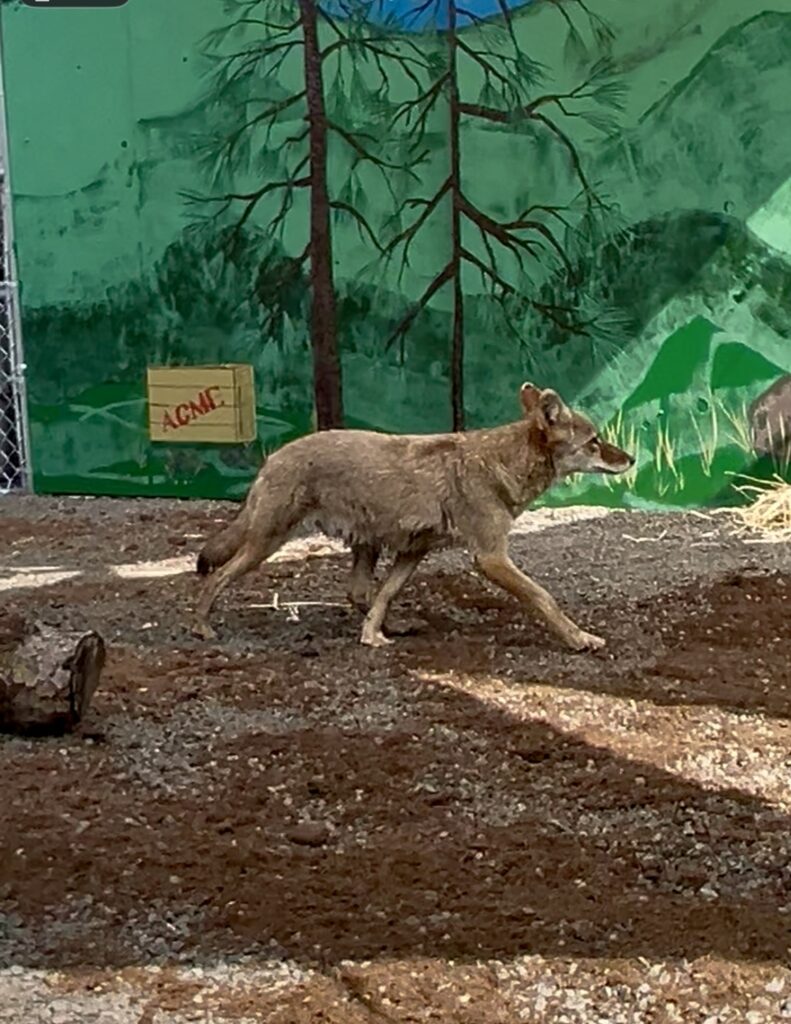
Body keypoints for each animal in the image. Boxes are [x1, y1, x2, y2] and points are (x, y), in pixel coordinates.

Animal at [193, 383, 633, 651]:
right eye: (594, 442)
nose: (631, 458)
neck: (500, 463)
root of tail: (272, 457)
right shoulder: (490, 558)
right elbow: (543, 596)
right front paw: (579, 638)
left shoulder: (413, 553)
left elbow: (385, 595)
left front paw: (373, 635)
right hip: (264, 545)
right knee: (215, 577)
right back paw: (201, 628)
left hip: (364, 546)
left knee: (358, 593)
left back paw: (394, 626)